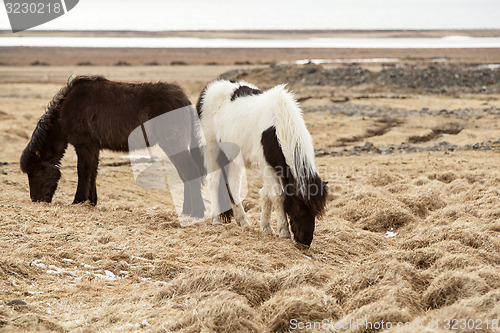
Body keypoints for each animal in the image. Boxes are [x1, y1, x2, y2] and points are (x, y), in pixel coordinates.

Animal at [19, 74, 203, 217]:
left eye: (36, 171)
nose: (36, 200)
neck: (66, 109)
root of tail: (185, 101)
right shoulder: (93, 148)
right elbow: (92, 172)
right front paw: (91, 201)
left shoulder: (84, 147)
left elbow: (83, 171)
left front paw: (78, 201)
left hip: (173, 145)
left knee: (190, 172)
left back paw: (195, 212)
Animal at [195, 79, 328, 245]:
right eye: (299, 206)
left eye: (315, 211)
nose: (304, 242)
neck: (278, 123)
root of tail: (209, 88)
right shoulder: (267, 167)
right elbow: (277, 195)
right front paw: (283, 231)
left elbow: (266, 194)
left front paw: (267, 228)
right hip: (212, 150)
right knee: (214, 181)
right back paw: (216, 220)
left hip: (233, 158)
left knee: (233, 186)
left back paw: (243, 221)